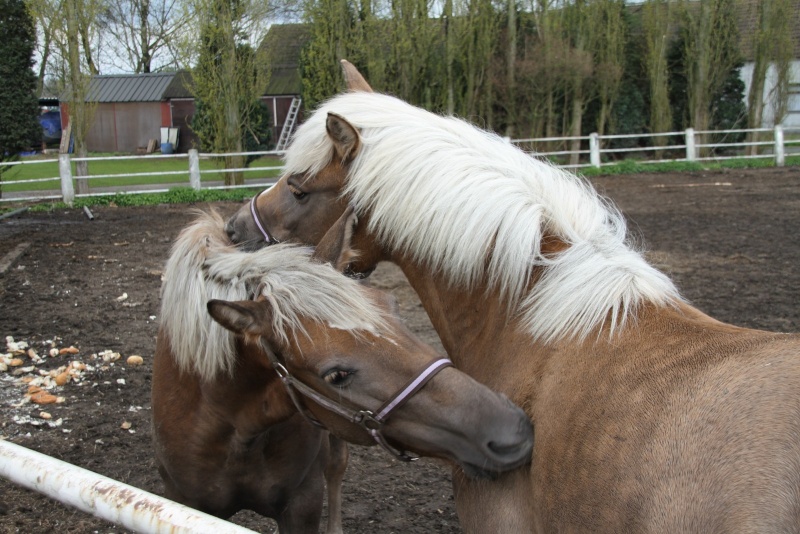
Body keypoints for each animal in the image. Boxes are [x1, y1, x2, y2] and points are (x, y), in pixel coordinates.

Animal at [153, 209, 536, 534]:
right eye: (335, 376)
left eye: (393, 308)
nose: (512, 432)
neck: (236, 431)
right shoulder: (185, 502)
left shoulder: (302, 503)